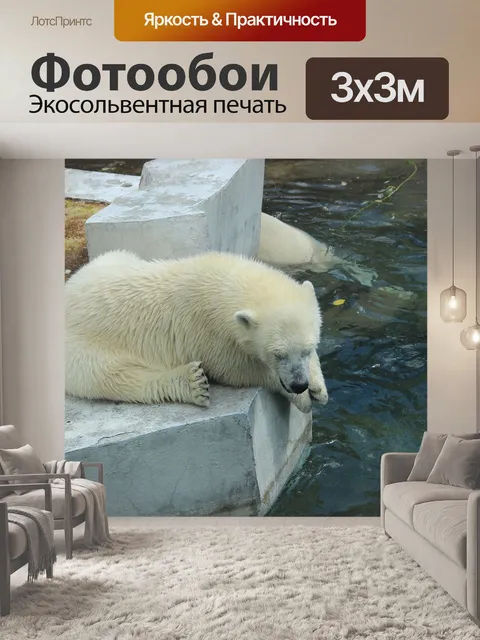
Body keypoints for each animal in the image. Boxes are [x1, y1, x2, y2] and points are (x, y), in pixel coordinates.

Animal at [65, 250, 329, 414]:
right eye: (277, 354)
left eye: (308, 349)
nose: (299, 384)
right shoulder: (210, 332)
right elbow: (238, 369)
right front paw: (303, 399)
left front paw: (318, 387)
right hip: (84, 348)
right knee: (114, 377)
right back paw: (192, 383)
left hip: (116, 258)